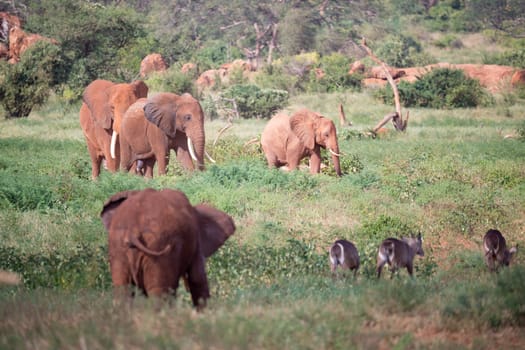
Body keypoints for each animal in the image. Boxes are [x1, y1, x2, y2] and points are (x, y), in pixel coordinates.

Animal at [99, 189, 234, 308]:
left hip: (119, 247)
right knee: (159, 295)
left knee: (123, 291)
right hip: (158, 248)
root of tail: (133, 230)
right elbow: (197, 279)